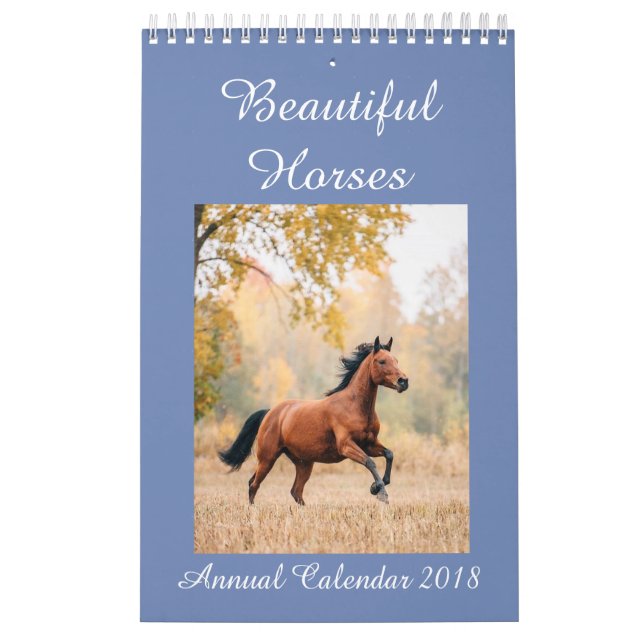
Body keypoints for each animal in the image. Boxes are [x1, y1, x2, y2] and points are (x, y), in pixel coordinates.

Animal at [218, 336, 409, 505]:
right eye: (381, 361)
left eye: (396, 360)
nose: (404, 381)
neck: (354, 406)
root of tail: (270, 412)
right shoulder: (346, 445)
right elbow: (370, 462)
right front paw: (381, 493)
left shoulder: (369, 444)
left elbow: (389, 454)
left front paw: (376, 487)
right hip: (267, 458)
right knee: (254, 484)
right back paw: (252, 511)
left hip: (304, 463)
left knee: (295, 491)